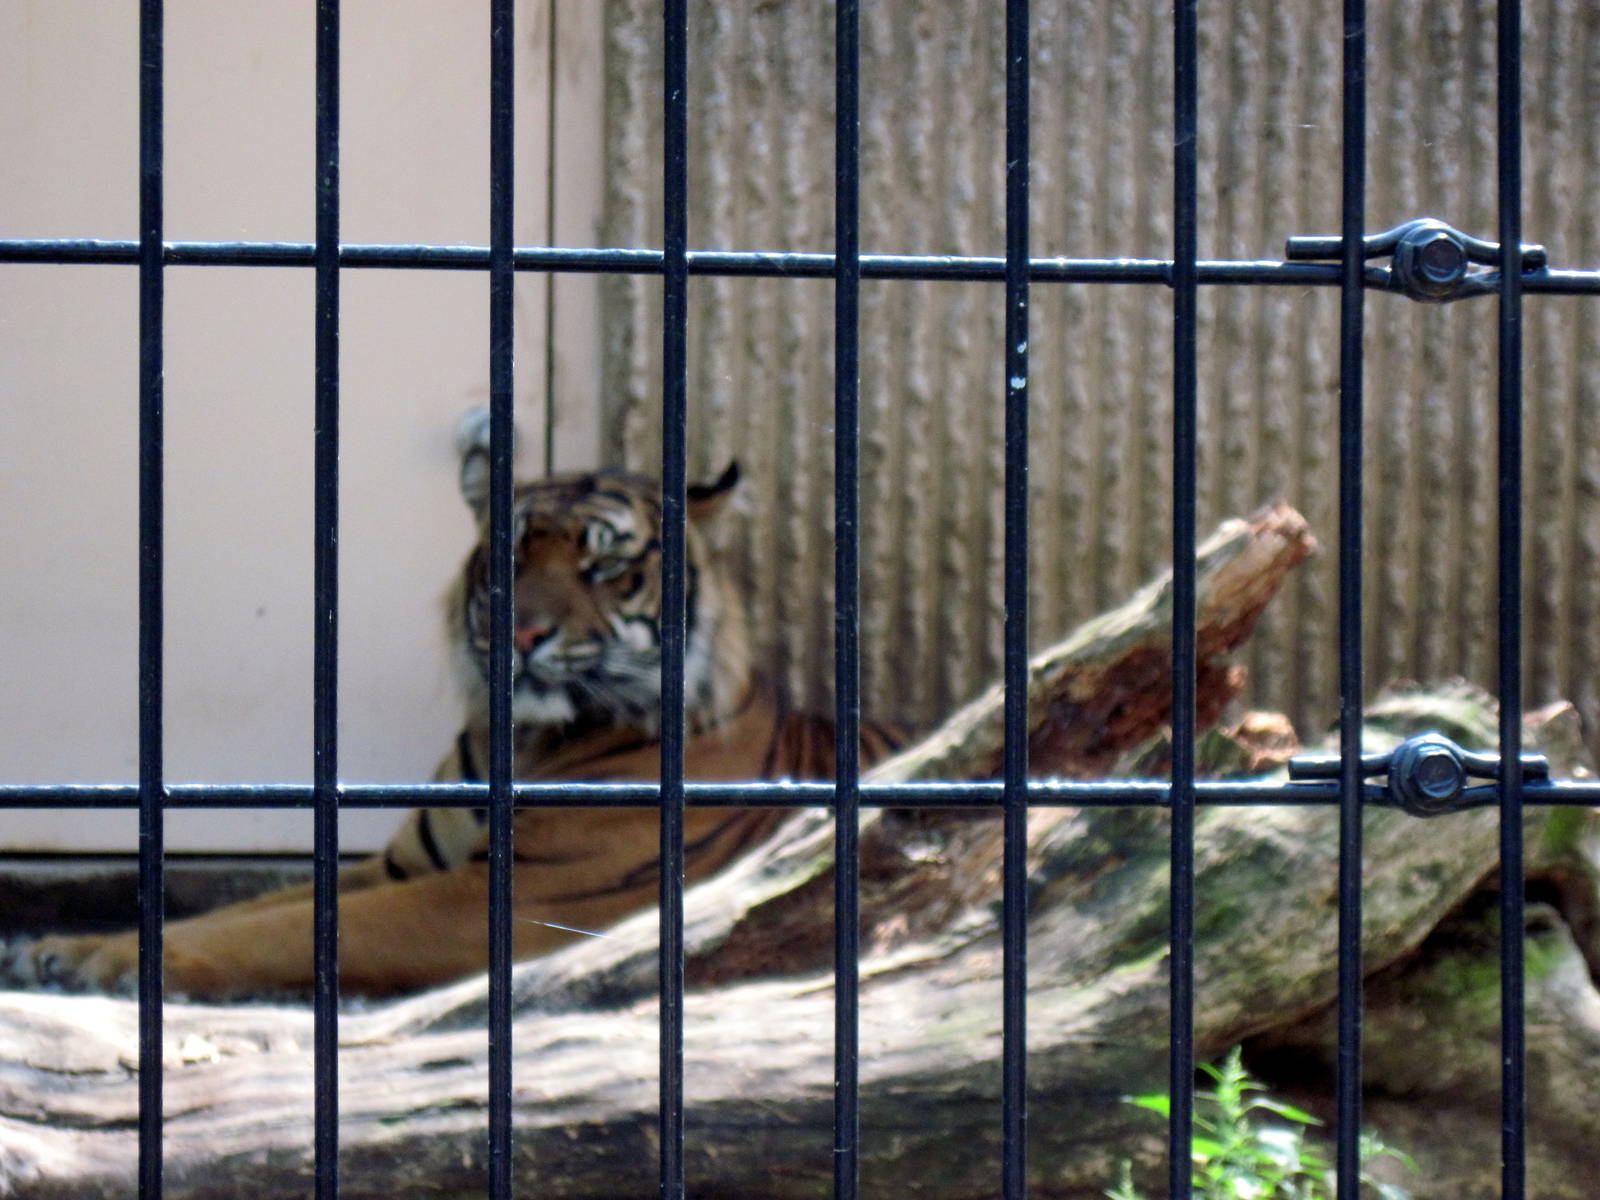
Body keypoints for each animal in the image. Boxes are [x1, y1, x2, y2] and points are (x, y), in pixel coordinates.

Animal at [19, 410, 903, 999]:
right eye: (510, 554)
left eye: (605, 567)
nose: (522, 632)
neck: (533, 742)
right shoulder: (401, 866)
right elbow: (267, 904)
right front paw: (68, 947)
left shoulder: (516, 897)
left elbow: (279, 928)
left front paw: (105, 962)